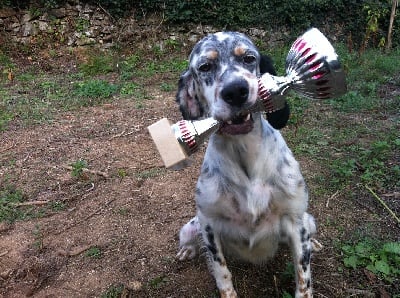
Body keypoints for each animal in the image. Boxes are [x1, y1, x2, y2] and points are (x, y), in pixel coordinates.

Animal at [175, 31, 322, 296]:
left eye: (249, 58)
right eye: (205, 66)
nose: (235, 91)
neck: (244, 151)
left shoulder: (296, 221)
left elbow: (303, 279)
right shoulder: (208, 224)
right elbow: (222, 272)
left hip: (308, 220)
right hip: (190, 226)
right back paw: (187, 250)